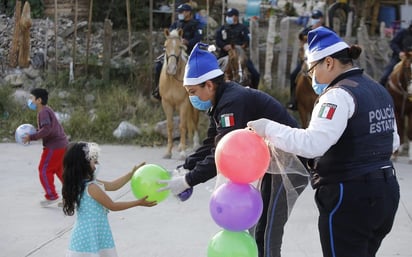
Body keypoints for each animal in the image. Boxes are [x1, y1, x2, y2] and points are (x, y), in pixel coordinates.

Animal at [159, 28, 200, 158]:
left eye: (180, 47)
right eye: (165, 47)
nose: (171, 69)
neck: (172, 80)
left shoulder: (184, 103)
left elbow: (182, 126)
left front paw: (182, 152)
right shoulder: (166, 103)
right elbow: (170, 126)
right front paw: (168, 152)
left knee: (194, 122)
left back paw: (194, 144)